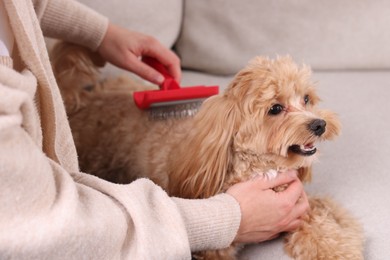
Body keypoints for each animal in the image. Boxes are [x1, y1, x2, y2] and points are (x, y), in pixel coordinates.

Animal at [51, 43, 362, 260]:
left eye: (306, 99)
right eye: (275, 108)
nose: (319, 124)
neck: (258, 170)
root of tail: (83, 100)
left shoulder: (302, 206)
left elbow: (324, 227)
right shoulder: (215, 248)